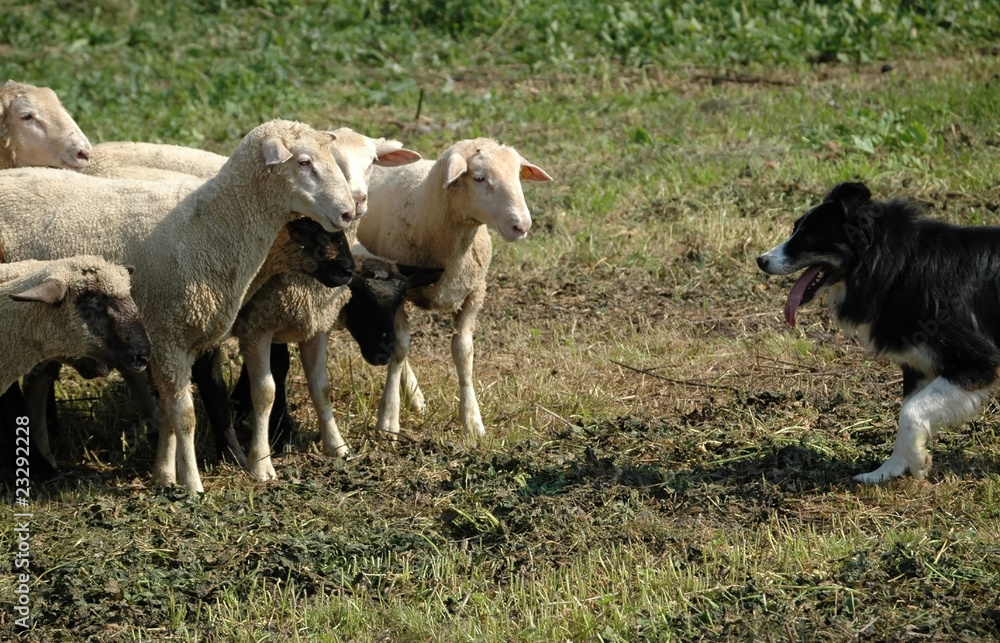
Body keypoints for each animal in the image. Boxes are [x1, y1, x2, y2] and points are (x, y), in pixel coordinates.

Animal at [0, 119, 358, 493]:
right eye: (303, 162)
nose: (348, 212)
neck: (209, 229)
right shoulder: (168, 338)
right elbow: (184, 415)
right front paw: (193, 484)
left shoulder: (177, 341)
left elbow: (171, 411)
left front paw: (164, 475)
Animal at [355, 138, 552, 438]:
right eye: (480, 178)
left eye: (518, 176)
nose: (522, 225)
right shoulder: (397, 291)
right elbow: (400, 347)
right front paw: (388, 417)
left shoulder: (474, 294)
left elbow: (463, 353)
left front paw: (472, 421)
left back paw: (415, 396)